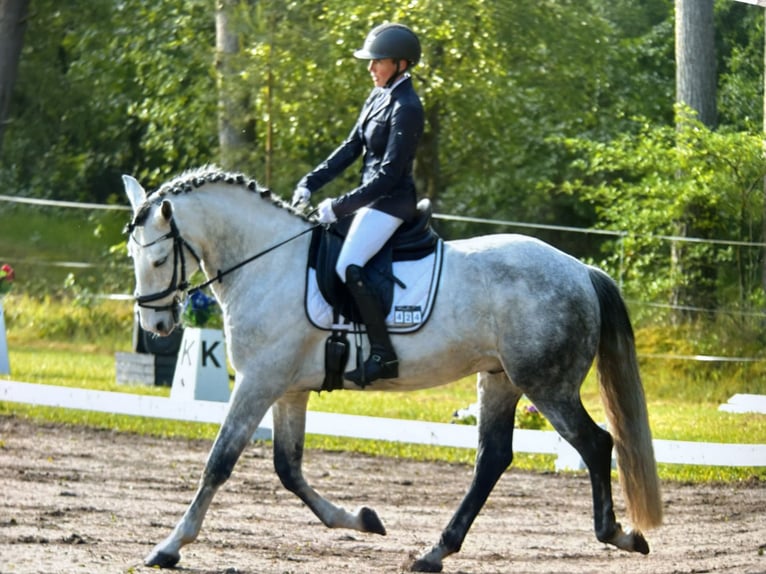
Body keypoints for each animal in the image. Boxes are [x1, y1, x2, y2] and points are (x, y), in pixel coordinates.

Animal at [122, 166, 662, 572]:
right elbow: (288, 468)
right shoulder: (288, 388)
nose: (156, 325)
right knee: (493, 458)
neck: (269, 263)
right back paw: (434, 552)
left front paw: (169, 546)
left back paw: (619, 534)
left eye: (158, 257)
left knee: (596, 444)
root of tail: (580, 269)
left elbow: (220, 461)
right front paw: (362, 519)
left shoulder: (259, 382)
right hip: (501, 380)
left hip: (547, 384)